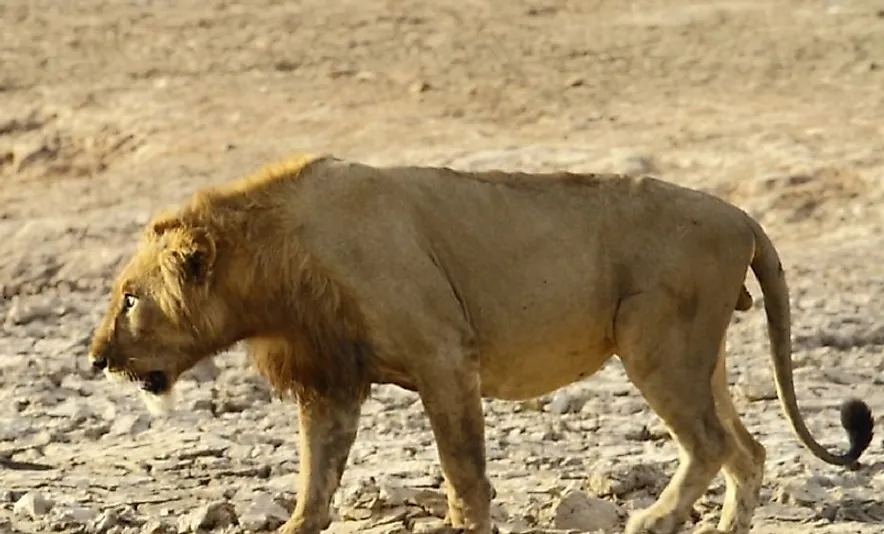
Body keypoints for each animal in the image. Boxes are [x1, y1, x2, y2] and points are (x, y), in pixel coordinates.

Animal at [86, 154, 872, 534]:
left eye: (129, 298)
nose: (95, 358)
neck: (273, 265)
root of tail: (742, 215)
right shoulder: (331, 378)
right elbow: (317, 473)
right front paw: (297, 527)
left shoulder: (443, 355)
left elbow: (461, 466)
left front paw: (463, 526)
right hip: (701, 356)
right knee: (749, 450)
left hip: (656, 343)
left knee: (709, 445)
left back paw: (653, 521)